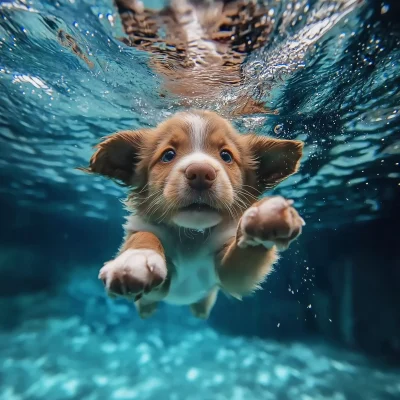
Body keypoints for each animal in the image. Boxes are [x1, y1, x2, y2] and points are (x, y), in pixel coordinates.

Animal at [82, 109, 306, 318]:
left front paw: (265, 215)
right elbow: (146, 236)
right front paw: (135, 260)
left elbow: (245, 252)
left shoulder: (230, 276)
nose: (200, 173)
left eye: (226, 156)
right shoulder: (159, 285)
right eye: (168, 155)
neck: (192, 236)